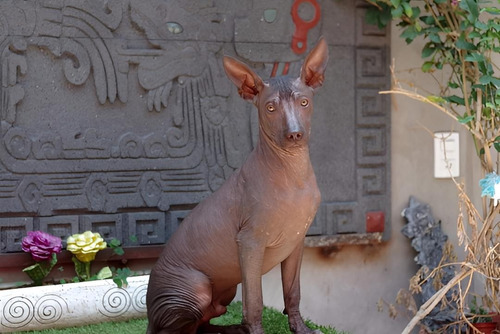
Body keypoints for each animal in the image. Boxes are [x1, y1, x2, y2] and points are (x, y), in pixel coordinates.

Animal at [146, 37, 330, 332]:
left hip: (225, 291)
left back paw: (230, 330)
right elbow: (254, 301)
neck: (292, 171)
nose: (294, 134)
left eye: (304, 102)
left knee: (204, 324)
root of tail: (150, 316)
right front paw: (256, 330)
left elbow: (293, 292)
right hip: (196, 288)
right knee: (179, 329)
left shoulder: (296, 243)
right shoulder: (250, 243)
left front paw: (300, 329)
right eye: (270, 107)